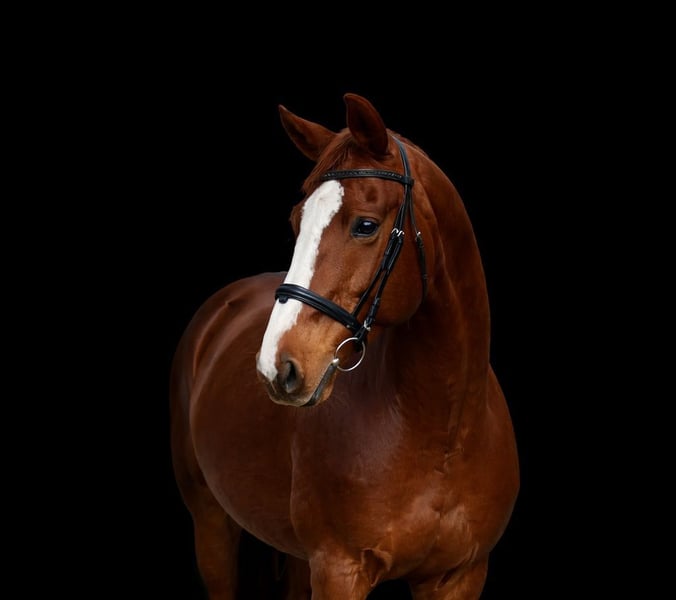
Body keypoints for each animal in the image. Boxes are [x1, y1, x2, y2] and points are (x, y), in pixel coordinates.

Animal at [170, 93, 519, 599]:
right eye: (296, 221)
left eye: (366, 225)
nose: (277, 366)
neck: (443, 430)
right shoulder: (339, 570)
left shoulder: (461, 575)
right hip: (211, 523)